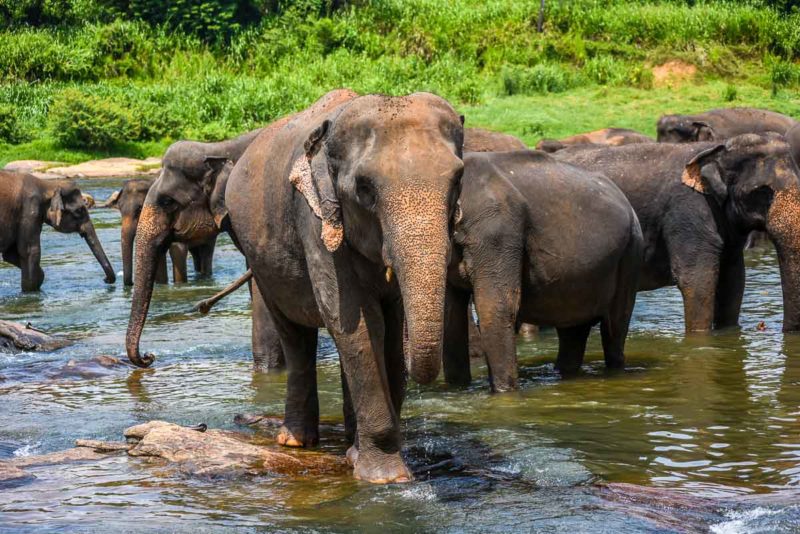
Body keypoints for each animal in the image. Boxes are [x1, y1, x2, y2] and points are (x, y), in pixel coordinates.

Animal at [125, 89, 466, 486]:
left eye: (458, 179)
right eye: (364, 187)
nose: (148, 358)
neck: (221, 147)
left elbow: (388, 328)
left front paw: (366, 460)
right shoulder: (311, 215)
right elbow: (355, 323)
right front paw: (386, 478)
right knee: (294, 335)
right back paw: (295, 441)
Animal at [444, 151, 644, 394]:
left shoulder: (498, 232)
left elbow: (498, 307)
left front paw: (504, 394)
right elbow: (452, 314)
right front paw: (458, 389)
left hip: (631, 252)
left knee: (614, 329)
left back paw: (614, 372)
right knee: (572, 332)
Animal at [560, 133, 800, 336]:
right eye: (761, 192)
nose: (767, 328)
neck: (715, 148)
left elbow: (734, 279)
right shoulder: (687, 209)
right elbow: (698, 279)